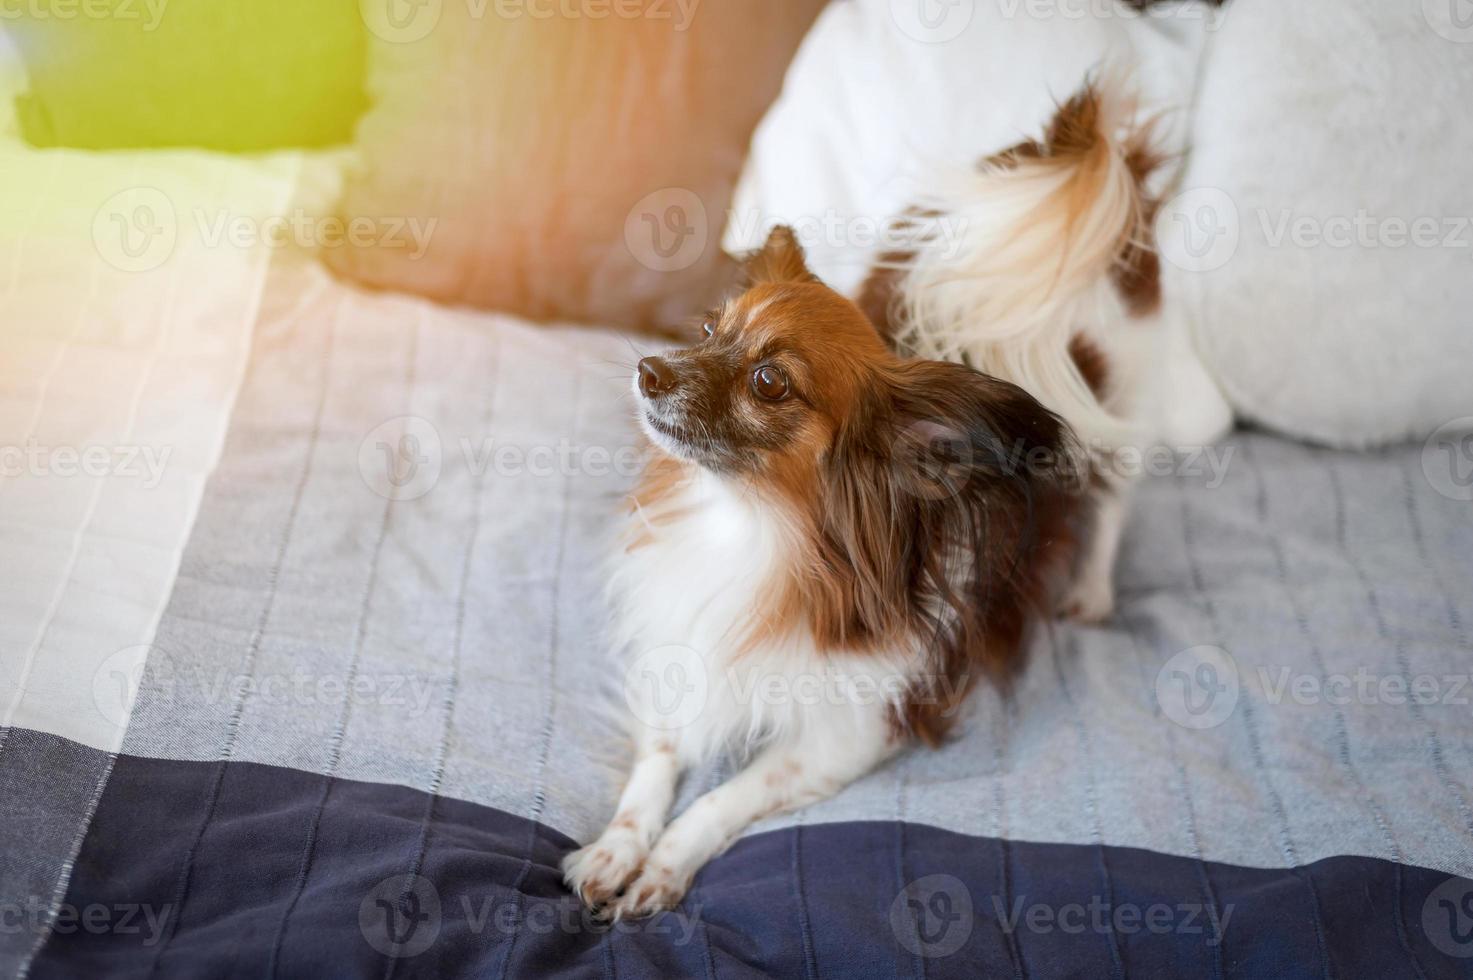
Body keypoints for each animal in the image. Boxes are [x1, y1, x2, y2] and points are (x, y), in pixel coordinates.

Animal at [562, 82, 1160, 919]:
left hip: (1122, 419)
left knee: (1112, 505)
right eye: (709, 328)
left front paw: (661, 867)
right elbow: (659, 762)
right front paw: (616, 849)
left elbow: (721, 798)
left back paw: (1093, 591)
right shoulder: (683, 650)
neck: (752, 526)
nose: (649, 369)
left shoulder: (848, 735)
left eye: (769, 381)